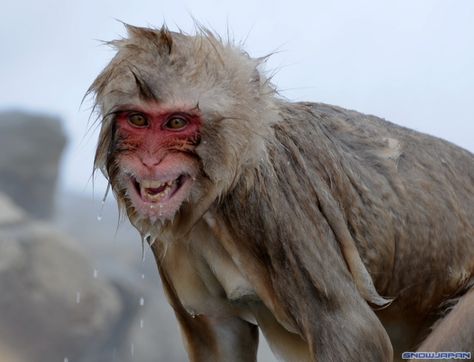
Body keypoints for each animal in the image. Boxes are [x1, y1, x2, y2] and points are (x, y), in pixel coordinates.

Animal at [89, 24, 474, 360]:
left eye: (176, 123)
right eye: (138, 120)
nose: (149, 160)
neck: (217, 193)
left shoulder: (272, 206)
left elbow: (355, 335)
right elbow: (220, 335)